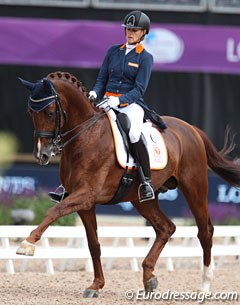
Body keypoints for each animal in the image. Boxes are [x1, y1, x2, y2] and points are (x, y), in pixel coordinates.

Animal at [17, 72, 240, 296]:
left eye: (50, 113)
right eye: (30, 112)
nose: (42, 155)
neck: (87, 136)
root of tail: (191, 129)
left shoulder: (86, 195)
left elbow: (53, 212)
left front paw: (27, 244)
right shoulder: (84, 204)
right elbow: (93, 244)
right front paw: (96, 285)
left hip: (194, 186)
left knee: (205, 231)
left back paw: (204, 285)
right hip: (142, 199)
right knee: (166, 228)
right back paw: (149, 277)